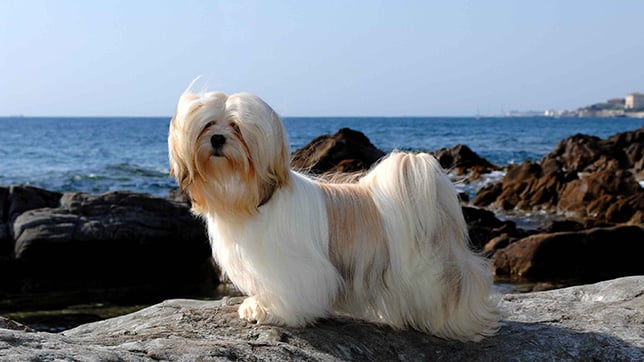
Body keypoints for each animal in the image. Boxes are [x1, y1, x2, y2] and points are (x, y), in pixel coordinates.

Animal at [169, 86, 500, 340]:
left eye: (236, 127)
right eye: (208, 125)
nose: (218, 139)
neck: (246, 196)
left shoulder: (293, 267)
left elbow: (291, 291)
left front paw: (272, 312)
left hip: (429, 270)